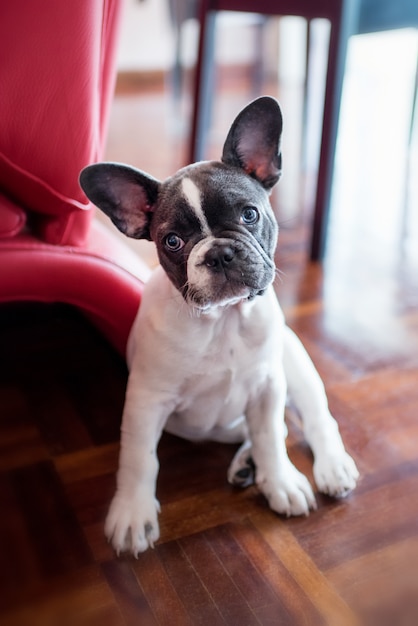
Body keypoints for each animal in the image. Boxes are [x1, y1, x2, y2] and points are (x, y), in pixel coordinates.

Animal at [80, 95, 358, 552]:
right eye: (172, 241)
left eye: (249, 215)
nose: (219, 253)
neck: (224, 320)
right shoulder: (145, 401)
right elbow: (139, 458)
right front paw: (132, 514)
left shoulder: (268, 386)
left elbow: (270, 436)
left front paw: (281, 481)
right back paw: (246, 464)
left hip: (295, 364)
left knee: (314, 419)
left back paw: (330, 466)